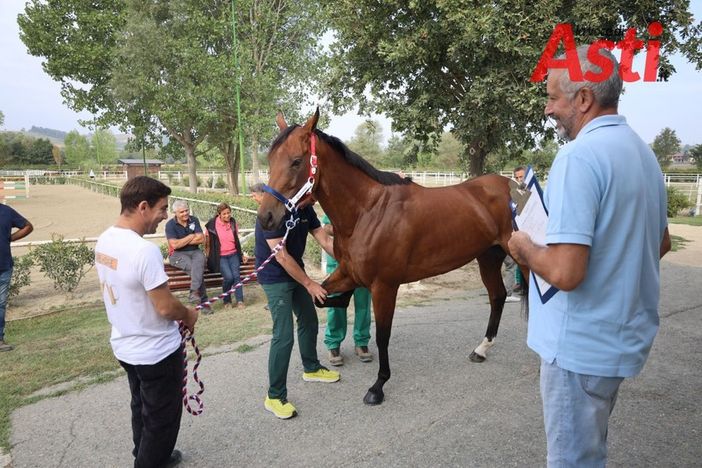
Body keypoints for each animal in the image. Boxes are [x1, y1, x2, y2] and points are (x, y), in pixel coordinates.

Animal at [257, 109, 525, 405]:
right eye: (270, 160)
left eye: (296, 161)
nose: (266, 217)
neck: (368, 211)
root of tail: (514, 186)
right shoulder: (348, 273)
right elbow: (323, 298)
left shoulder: (384, 286)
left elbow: (382, 336)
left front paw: (378, 386)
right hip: (488, 257)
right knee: (497, 296)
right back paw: (481, 349)